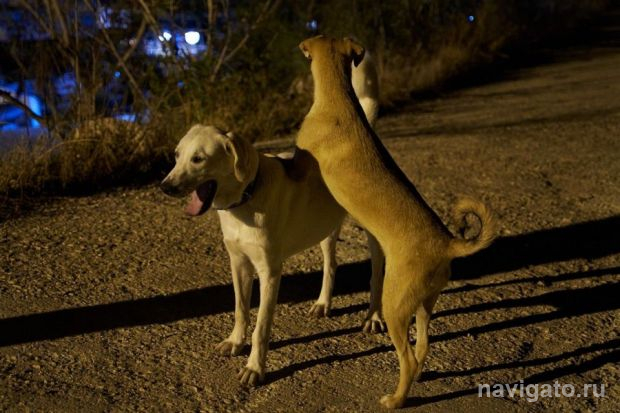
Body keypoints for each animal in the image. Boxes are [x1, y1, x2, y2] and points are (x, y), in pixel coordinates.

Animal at [160, 53, 382, 384]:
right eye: (176, 155)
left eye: (198, 158)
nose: (164, 187)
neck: (246, 198)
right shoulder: (238, 263)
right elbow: (241, 309)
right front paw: (235, 341)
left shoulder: (270, 273)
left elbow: (261, 326)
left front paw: (255, 367)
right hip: (324, 228)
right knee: (331, 264)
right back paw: (323, 302)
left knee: (378, 272)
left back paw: (375, 315)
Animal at [296, 36, 494, 408]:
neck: (341, 101)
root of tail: (447, 244)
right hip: (424, 304)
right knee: (424, 346)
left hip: (395, 307)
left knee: (408, 357)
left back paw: (397, 399)